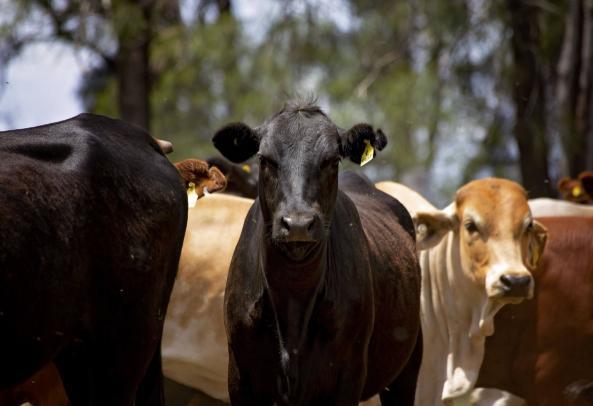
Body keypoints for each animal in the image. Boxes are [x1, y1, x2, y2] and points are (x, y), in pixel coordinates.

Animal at [213, 100, 420, 402]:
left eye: (332, 160)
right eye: (264, 159)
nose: (298, 224)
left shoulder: (349, 376)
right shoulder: (240, 375)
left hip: (409, 365)